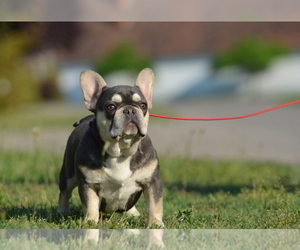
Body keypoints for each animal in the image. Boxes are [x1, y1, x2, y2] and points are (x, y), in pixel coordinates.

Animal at [57, 68, 163, 227]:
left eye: (143, 105)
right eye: (111, 107)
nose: (130, 110)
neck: (121, 152)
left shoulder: (152, 181)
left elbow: (154, 204)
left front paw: (156, 224)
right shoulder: (89, 184)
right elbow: (90, 206)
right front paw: (90, 223)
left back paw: (132, 213)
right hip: (68, 174)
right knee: (64, 192)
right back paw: (62, 211)